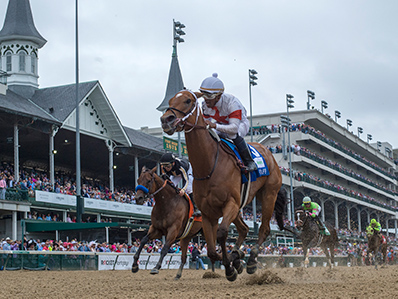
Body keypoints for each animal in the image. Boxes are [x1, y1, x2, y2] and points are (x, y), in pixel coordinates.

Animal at [160, 90, 290, 282]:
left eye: (188, 100)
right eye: (169, 101)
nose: (166, 119)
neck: (209, 165)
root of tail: (269, 153)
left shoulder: (231, 203)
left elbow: (221, 233)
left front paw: (232, 266)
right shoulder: (208, 213)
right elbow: (212, 250)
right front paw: (234, 261)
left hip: (268, 195)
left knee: (264, 229)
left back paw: (251, 260)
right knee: (244, 229)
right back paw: (239, 256)